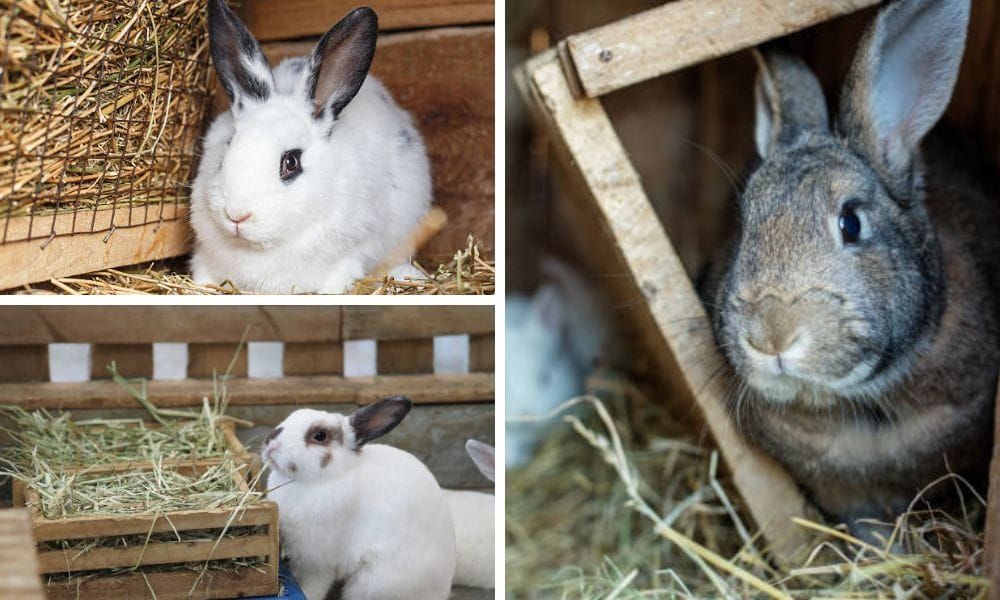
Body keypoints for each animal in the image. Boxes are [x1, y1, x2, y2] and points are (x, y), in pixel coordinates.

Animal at [263, 397, 455, 600]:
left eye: (320, 436)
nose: (270, 444)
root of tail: (442, 590)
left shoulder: (315, 562)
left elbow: (310, 586)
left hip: (371, 585)